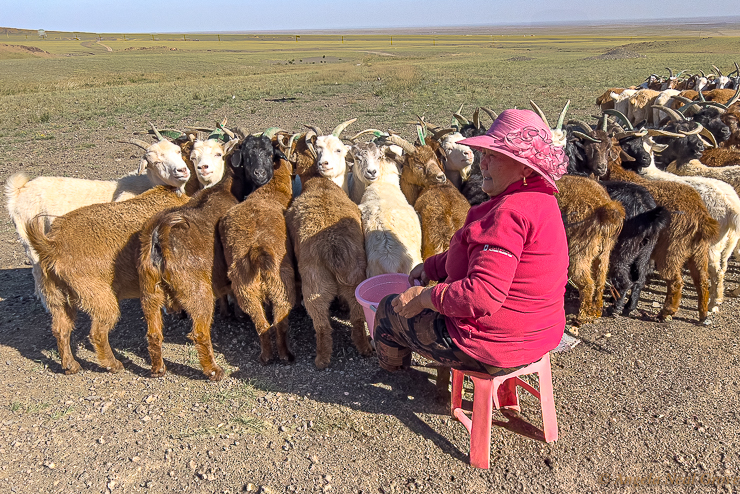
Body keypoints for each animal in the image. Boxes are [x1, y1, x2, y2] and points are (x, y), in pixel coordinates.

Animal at [556, 176, 624, 326]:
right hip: (603, 253)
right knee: (600, 281)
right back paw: (596, 310)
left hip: (578, 251)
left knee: (587, 284)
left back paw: (582, 317)